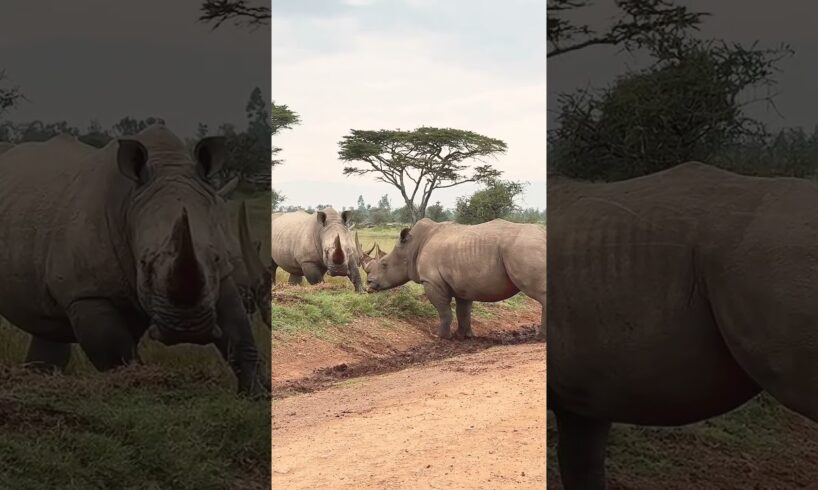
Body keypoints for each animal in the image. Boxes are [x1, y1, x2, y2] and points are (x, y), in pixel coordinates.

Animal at [0, 127, 267, 395]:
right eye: (144, 265)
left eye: (216, 257)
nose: (188, 328)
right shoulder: (87, 293)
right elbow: (118, 357)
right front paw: (139, 386)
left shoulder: (221, 273)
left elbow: (240, 336)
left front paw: (257, 392)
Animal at [363, 218, 546, 339]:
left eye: (384, 264)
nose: (368, 284)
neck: (412, 247)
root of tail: (543, 234)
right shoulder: (462, 284)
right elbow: (463, 311)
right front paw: (463, 336)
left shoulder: (432, 282)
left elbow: (444, 311)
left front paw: (441, 337)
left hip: (523, 248)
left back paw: (540, 337)